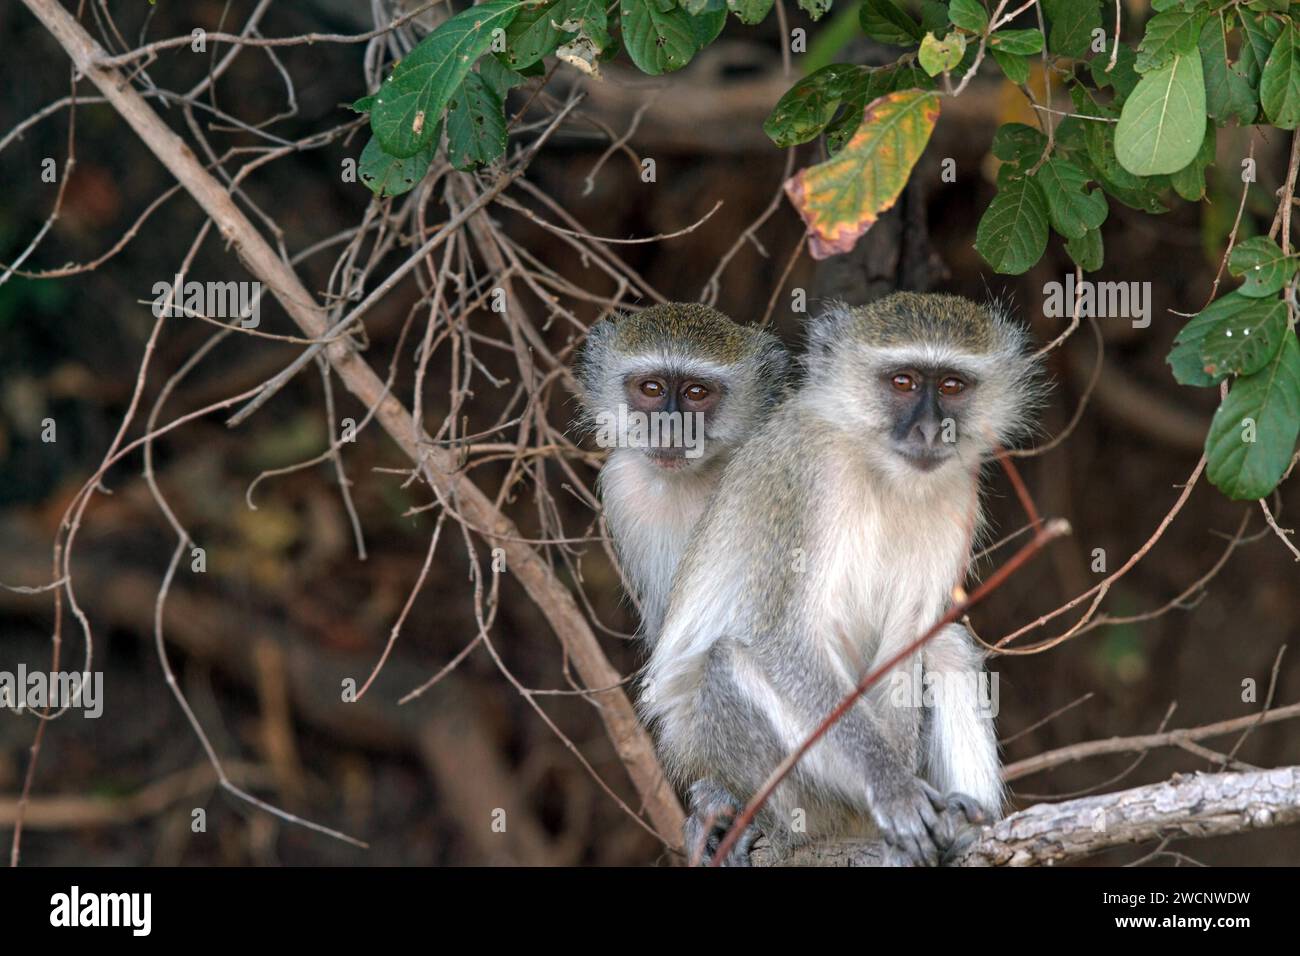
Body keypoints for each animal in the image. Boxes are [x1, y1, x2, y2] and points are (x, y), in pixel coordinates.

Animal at [647, 291, 1045, 868]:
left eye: (952, 385)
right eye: (902, 381)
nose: (930, 431)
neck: (880, 468)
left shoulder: (959, 491)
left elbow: (909, 639)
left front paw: (914, 803)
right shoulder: (805, 477)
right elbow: (786, 639)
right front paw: (894, 789)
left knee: (945, 646)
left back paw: (966, 824)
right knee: (729, 664)